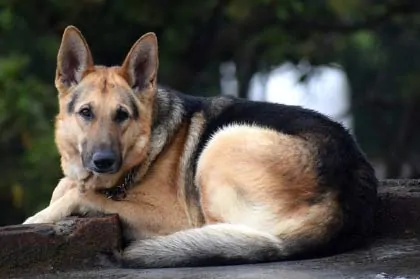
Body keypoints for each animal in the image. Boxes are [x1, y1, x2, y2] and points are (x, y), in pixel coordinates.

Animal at [22, 25, 378, 270]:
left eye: (122, 115)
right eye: (86, 113)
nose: (103, 161)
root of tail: (346, 195)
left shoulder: (170, 215)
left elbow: (82, 195)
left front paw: (40, 216)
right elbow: (67, 186)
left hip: (222, 142)